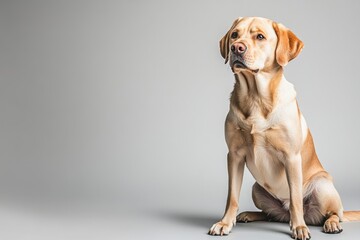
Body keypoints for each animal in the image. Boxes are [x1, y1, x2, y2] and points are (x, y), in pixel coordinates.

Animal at [208, 16, 360, 240]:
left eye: (260, 36)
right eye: (235, 35)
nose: (237, 47)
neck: (256, 98)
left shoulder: (291, 157)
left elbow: (296, 199)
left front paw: (299, 228)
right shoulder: (234, 156)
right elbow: (232, 196)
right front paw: (225, 222)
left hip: (323, 185)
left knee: (331, 213)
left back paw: (330, 223)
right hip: (256, 188)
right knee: (272, 215)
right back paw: (248, 215)